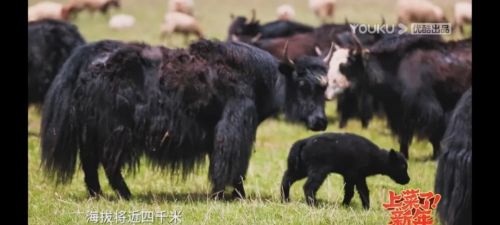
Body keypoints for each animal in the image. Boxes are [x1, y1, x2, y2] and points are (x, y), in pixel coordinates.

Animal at [280, 133, 412, 208]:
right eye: (402, 167)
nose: (408, 180)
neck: (376, 157)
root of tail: (304, 141)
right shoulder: (356, 175)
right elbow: (359, 192)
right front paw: (364, 207)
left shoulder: (351, 176)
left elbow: (354, 191)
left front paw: (347, 206)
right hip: (318, 171)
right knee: (308, 187)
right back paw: (313, 205)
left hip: (299, 168)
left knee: (286, 179)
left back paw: (285, 200)